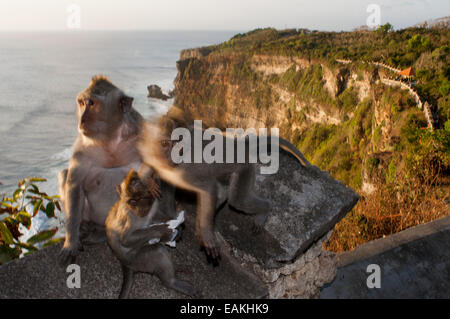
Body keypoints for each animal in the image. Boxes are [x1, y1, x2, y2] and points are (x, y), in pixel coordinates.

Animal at [106, 170, 198, 300]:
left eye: (142, 199)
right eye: (132, 202)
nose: (140, 210)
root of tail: (125, 264)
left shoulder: (153, 206)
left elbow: (154, 217)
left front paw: (176, 227)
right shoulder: (130, 216)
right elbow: (126, 239)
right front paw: (163, 230)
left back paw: (175, 266)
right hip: (138, 260)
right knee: (157, 250)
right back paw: (171, 282)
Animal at [138, 117, 312, 260]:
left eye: (176, 144)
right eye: (165, 143)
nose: (172, 155)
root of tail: (237, 145)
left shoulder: (186, 172)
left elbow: (208, 188)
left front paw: (207, 234)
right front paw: (148, 181)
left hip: (244, 169)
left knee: (238, 201)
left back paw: (264, 210)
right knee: (223, 193)